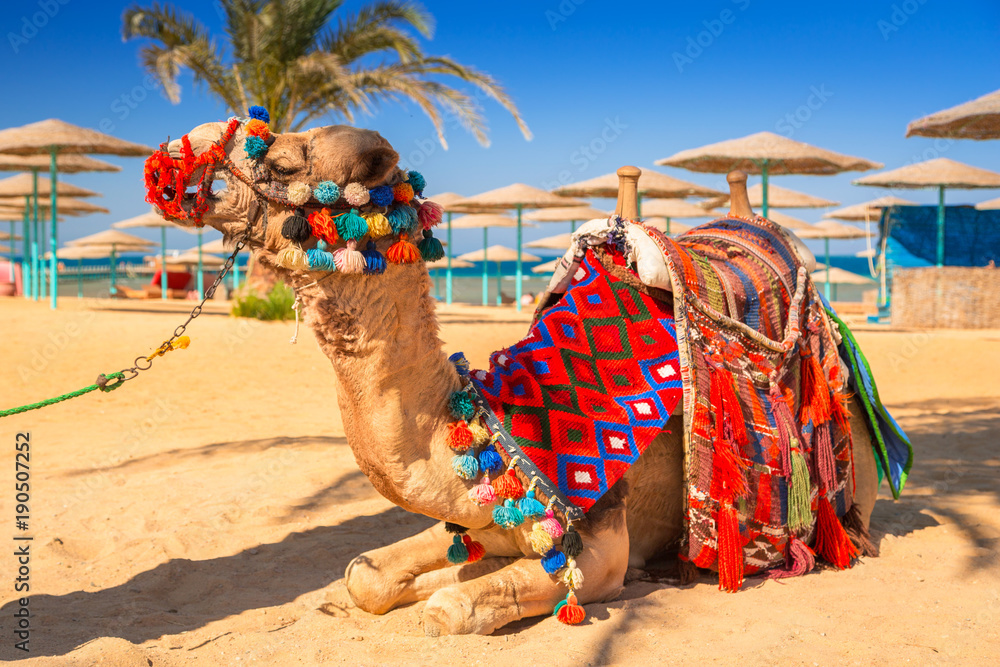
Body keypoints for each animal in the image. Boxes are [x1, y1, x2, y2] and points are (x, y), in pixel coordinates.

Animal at [152, 118, 880, 636]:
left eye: (279, 162)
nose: (180, 155)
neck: (500, 423)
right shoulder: (476, 513)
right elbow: (367, 576)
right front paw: (424, 578)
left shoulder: (603, 545)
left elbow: (450, 608)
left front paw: (449, 591)